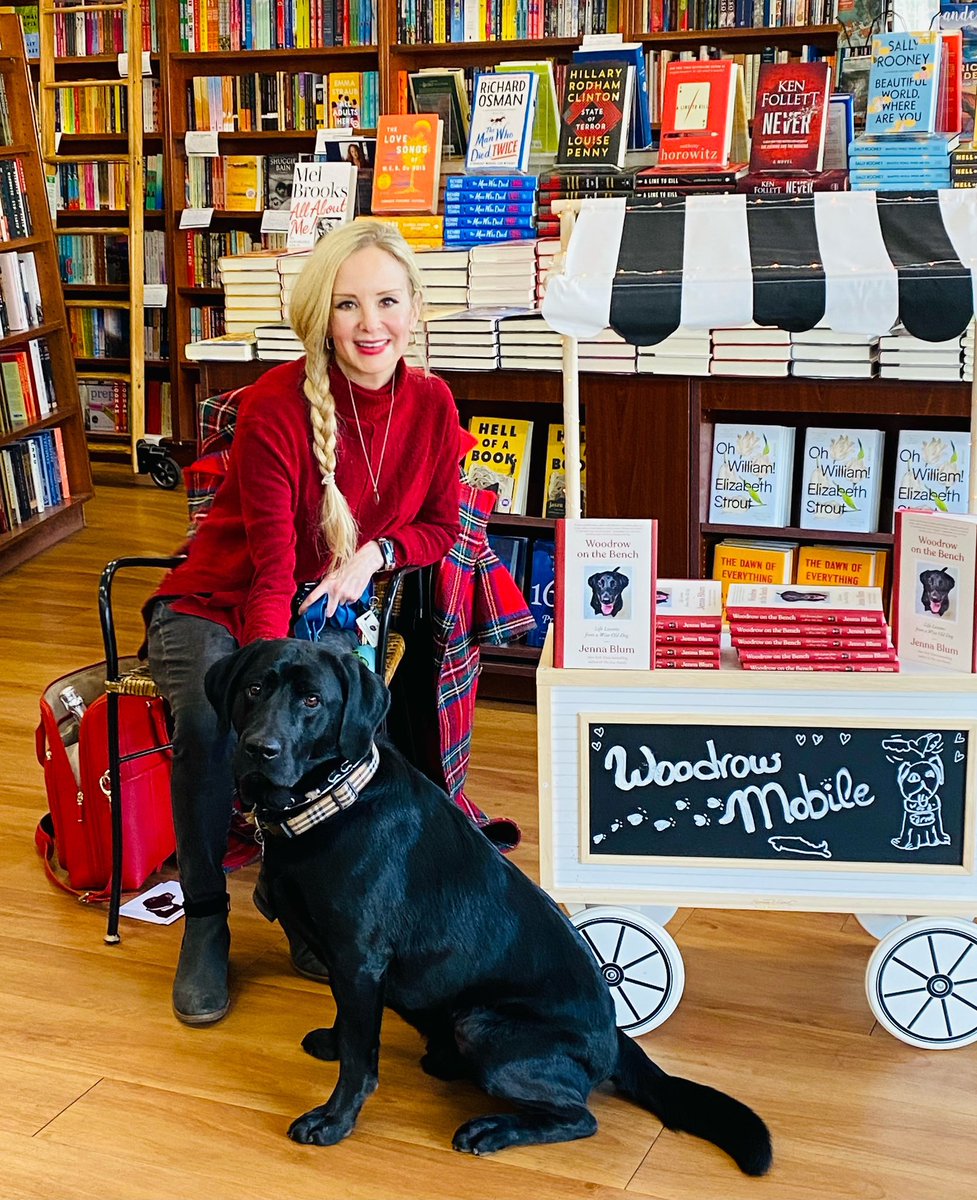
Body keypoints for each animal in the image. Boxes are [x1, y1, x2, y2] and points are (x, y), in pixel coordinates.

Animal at [205, 638, 772, 1171]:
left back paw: (490, 1129)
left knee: (580, 1117)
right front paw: (331, 1041)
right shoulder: (347, 967)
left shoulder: (360, 961)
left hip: (480, 1024)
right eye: (254, 688)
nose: (259, 749)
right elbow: (349, 1025)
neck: (330, 802)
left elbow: (359, 1061)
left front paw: (333, 1121)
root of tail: (614, 1037)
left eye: (312, 700)